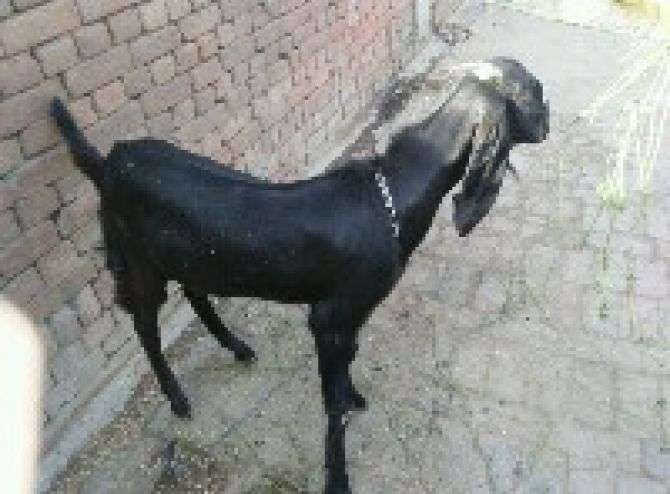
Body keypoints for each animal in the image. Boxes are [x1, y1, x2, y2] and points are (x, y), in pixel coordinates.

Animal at [51, 57, 549, 494]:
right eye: (535, 93)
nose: (548, 123)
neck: (389, 193)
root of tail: (110, 161)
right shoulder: (330, 319)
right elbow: (332, 405)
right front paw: (337, 478)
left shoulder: (350, 317)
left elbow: (346, 373)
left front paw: (353, 396)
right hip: (138, 262)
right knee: (146, 328)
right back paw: (176, 397)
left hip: (187, 255)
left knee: (195, 291)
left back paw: (235, 346)